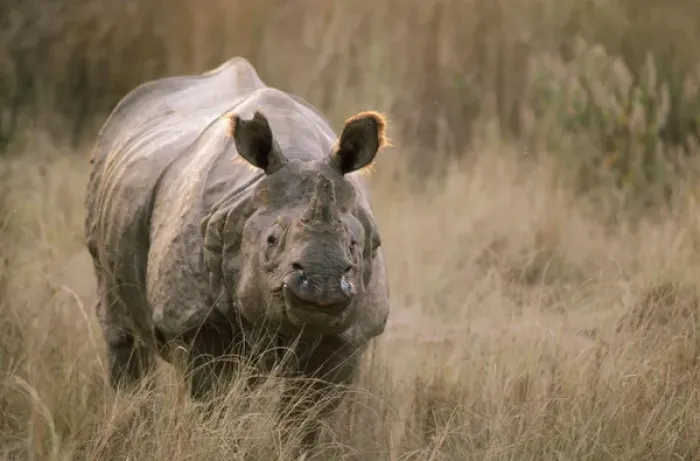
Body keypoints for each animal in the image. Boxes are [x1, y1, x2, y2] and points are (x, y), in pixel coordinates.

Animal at [84, 57, 391, 450]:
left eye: (353, 245)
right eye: (271, 241)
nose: (322, 284)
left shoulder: (349, 336)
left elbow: (307, 417)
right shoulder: (192, 320)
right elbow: (214, 403)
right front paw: (217, 443)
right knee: (123, 333)